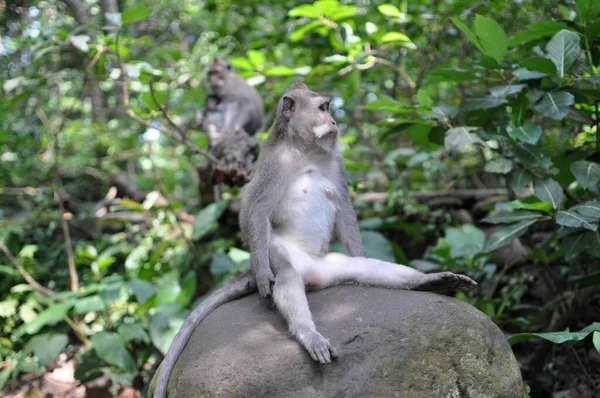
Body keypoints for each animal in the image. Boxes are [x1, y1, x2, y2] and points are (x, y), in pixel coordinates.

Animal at [150, 82, 478, 396]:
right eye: (322, 108)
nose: (334, 121)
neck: (304, 149)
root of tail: (314, 274)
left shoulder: (337, 161)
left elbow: (344, 208)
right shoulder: (274, 164)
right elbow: (256, 211)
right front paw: (262, 274)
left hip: (331, 266)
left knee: (363, 269)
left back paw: (429, 281)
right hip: (278, 250)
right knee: (286, 275)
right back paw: (308, 333)